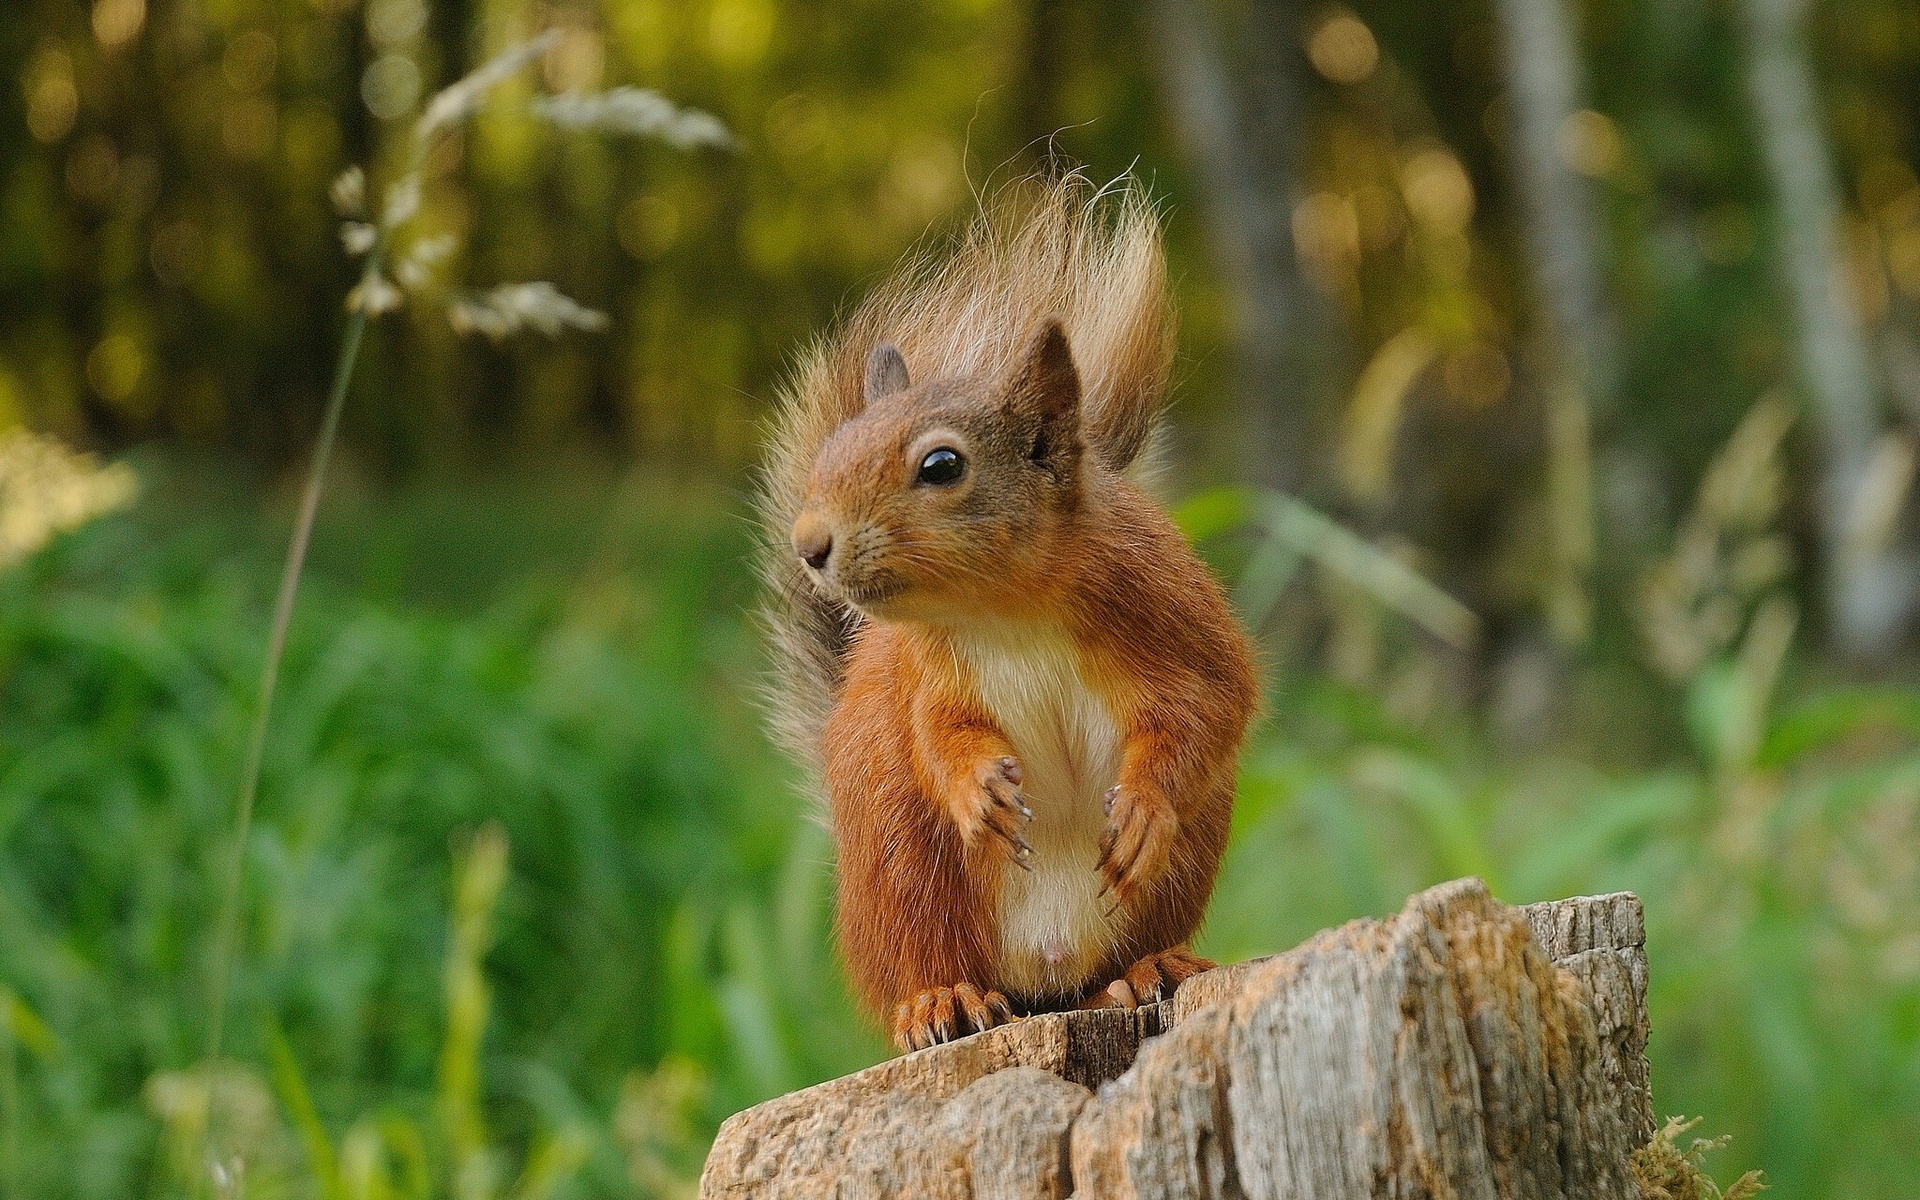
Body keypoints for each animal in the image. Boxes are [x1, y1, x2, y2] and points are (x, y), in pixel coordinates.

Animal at [756, 175, 1267, 1044]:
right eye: (832, 451)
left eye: (941, 465)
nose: (809, 543)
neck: (1004, 611)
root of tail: (1042, 976)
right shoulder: (928, 675)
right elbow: (939, 736)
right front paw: (976, 790)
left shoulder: (1172, 615)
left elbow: (1206, 709)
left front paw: (1142, 808)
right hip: (903, 870)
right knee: (929, 962)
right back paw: (942, 1001)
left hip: (1175, 872)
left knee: (1104, 968)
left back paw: (1143, 971)